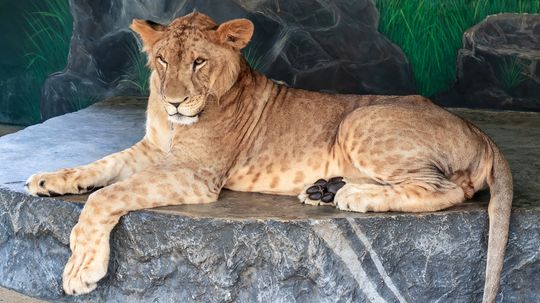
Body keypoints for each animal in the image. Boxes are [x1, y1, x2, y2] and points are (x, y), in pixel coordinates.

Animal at [25, 11, 512, 302]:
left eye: (199, 62)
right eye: (162, 60)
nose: (175, 101)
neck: (173, 124)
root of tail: (480, 131)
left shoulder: (196, 175)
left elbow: (106, 196)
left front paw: (81, 268)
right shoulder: (150, 150)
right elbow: (101, 165)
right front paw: (50, 179)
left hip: (360, 119)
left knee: (446, 189)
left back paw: (354, 196)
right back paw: (325, 190)